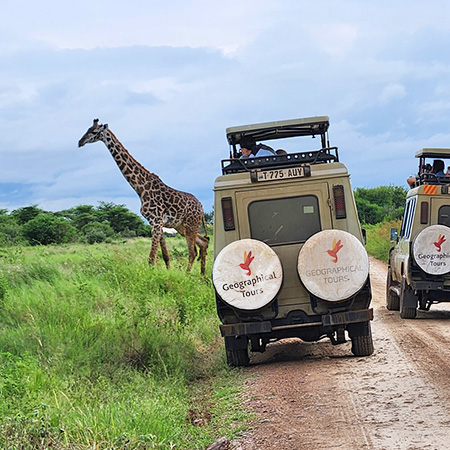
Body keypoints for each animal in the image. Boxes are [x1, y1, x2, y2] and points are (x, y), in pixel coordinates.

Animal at [78, 118, 209, 274]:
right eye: (87, 129)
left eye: (94, 132)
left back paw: (188, 276)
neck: (140, 188)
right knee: (203, 243)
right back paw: (203, 276)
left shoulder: (156, 222)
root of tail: (201, 208)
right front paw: (168, 273)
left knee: (193, 251)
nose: (80, 142)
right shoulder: (158, 223)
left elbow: (151, 258)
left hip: (190, 225)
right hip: (181, 226)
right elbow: (165, 255)